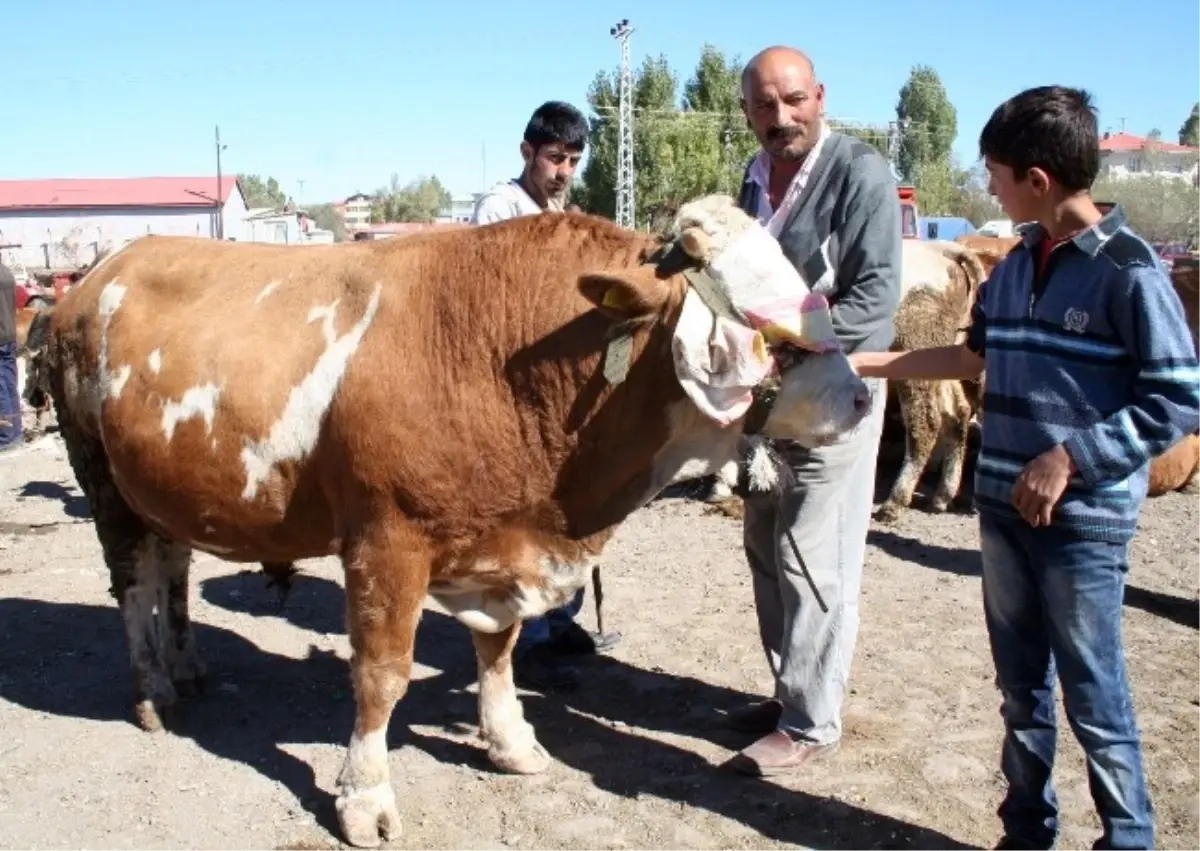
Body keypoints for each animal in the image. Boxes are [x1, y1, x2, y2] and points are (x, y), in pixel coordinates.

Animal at [44, 194, 873, 849]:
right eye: (774, 335)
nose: (864, 398)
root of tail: (102, 269)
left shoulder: (502, 547)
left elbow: (498, 650)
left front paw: (509, 740)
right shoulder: (386, 541)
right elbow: (382, 674)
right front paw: (365, 795)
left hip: (160, 486)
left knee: (172, 569)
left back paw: (186, 665)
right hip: (100, 476)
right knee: (132, 583)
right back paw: (152, 686)